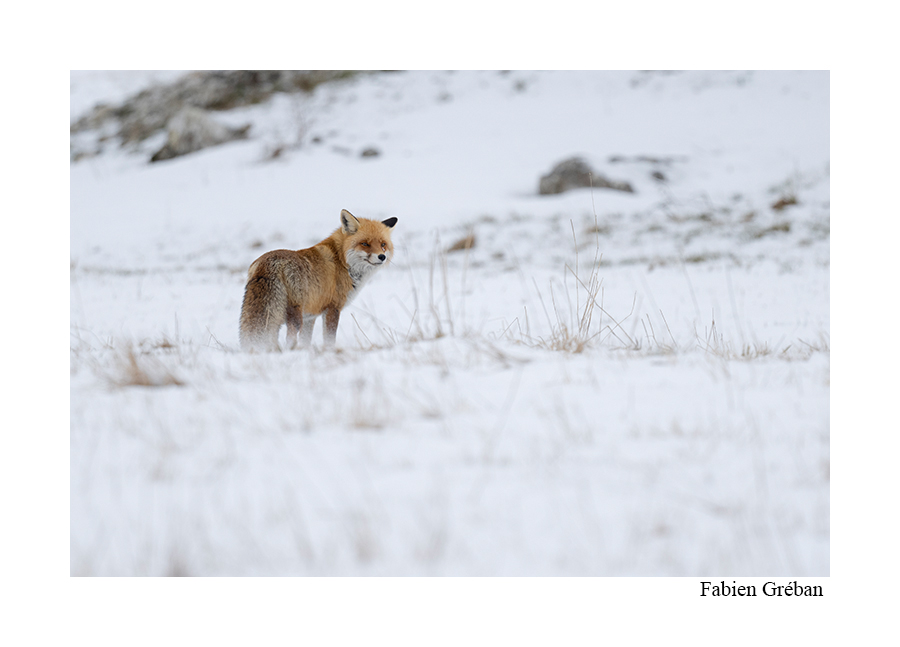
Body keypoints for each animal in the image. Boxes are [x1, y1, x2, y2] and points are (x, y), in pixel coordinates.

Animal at [239, 209, 397, 352]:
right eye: (365, 243)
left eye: (383, 244)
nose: (381, 257)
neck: (342, 261)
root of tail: (269, 263)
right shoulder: (333, 308)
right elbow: (329, 339)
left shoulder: (310, 316)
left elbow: (306, 341)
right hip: (295, 317)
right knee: (290, 338)